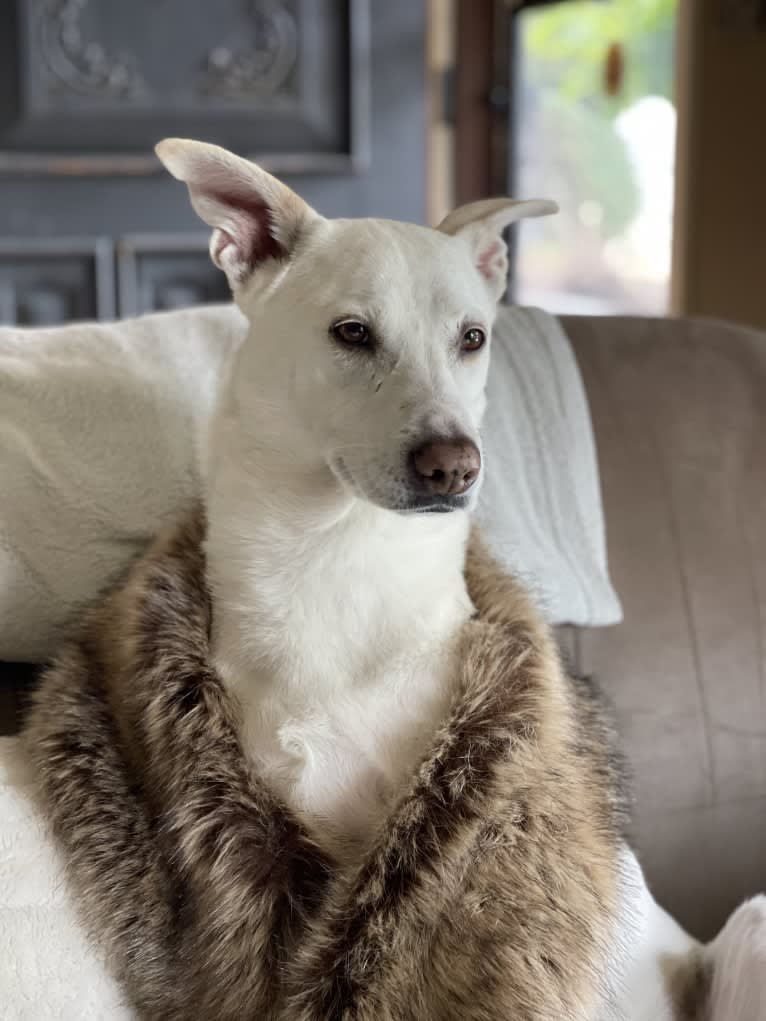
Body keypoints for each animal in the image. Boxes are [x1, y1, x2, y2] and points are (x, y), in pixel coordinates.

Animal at [157, 137, 766, 1021]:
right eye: (351, 332)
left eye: (472, 337)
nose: (455, 465)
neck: (337, 557)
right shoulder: (290, 828)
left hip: (750, 926)